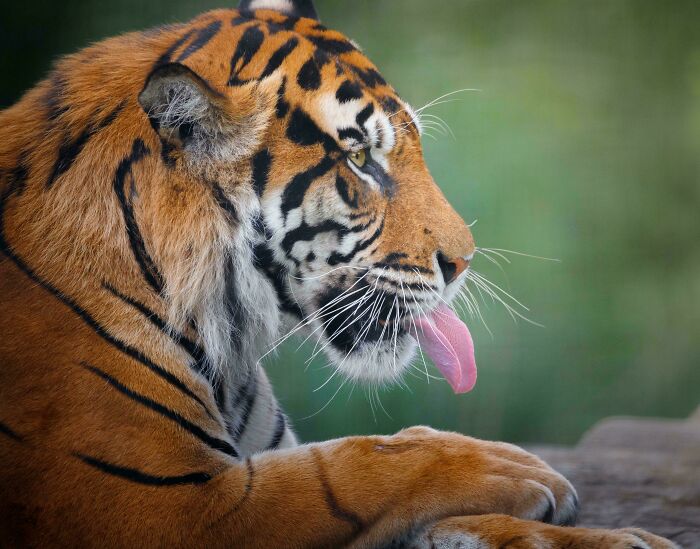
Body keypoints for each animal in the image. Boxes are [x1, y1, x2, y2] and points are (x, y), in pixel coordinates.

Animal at [0, 1, 677, 547]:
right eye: (359, 159)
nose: (464, 260)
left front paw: (617, 537)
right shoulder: (168, 505)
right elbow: (351, 468)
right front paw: (509, 466)